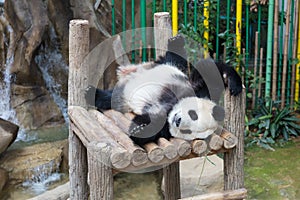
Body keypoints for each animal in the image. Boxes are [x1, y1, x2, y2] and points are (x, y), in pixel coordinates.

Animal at [90, 35, 243, 146]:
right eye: (193, 114)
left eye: (188, 131)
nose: (178, 120)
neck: (172, 108)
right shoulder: (196, 89)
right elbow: (209, 70)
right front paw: (234, 83)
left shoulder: (164, 125)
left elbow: (154, 126)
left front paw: (138, 129)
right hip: (166, 67)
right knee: (173, 58)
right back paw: (176, 42)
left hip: (123, 97)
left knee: (111, 98)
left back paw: (92, 94)